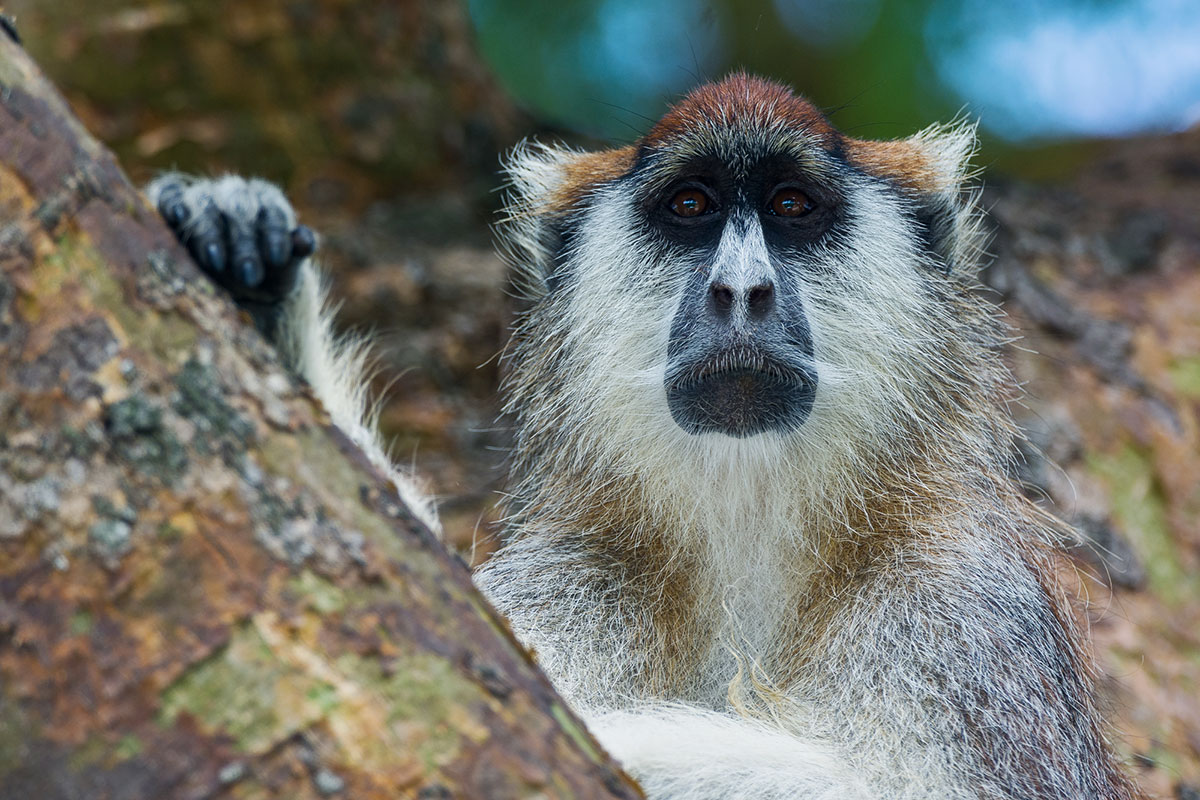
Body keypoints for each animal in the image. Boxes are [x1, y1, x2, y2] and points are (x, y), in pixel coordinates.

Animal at [152, 73, 1142, 796]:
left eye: (792, 207)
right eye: (691, 207)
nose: (741, 291)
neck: (751, 527)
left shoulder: (963, 611)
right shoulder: (583, 574)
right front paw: (245, 271)